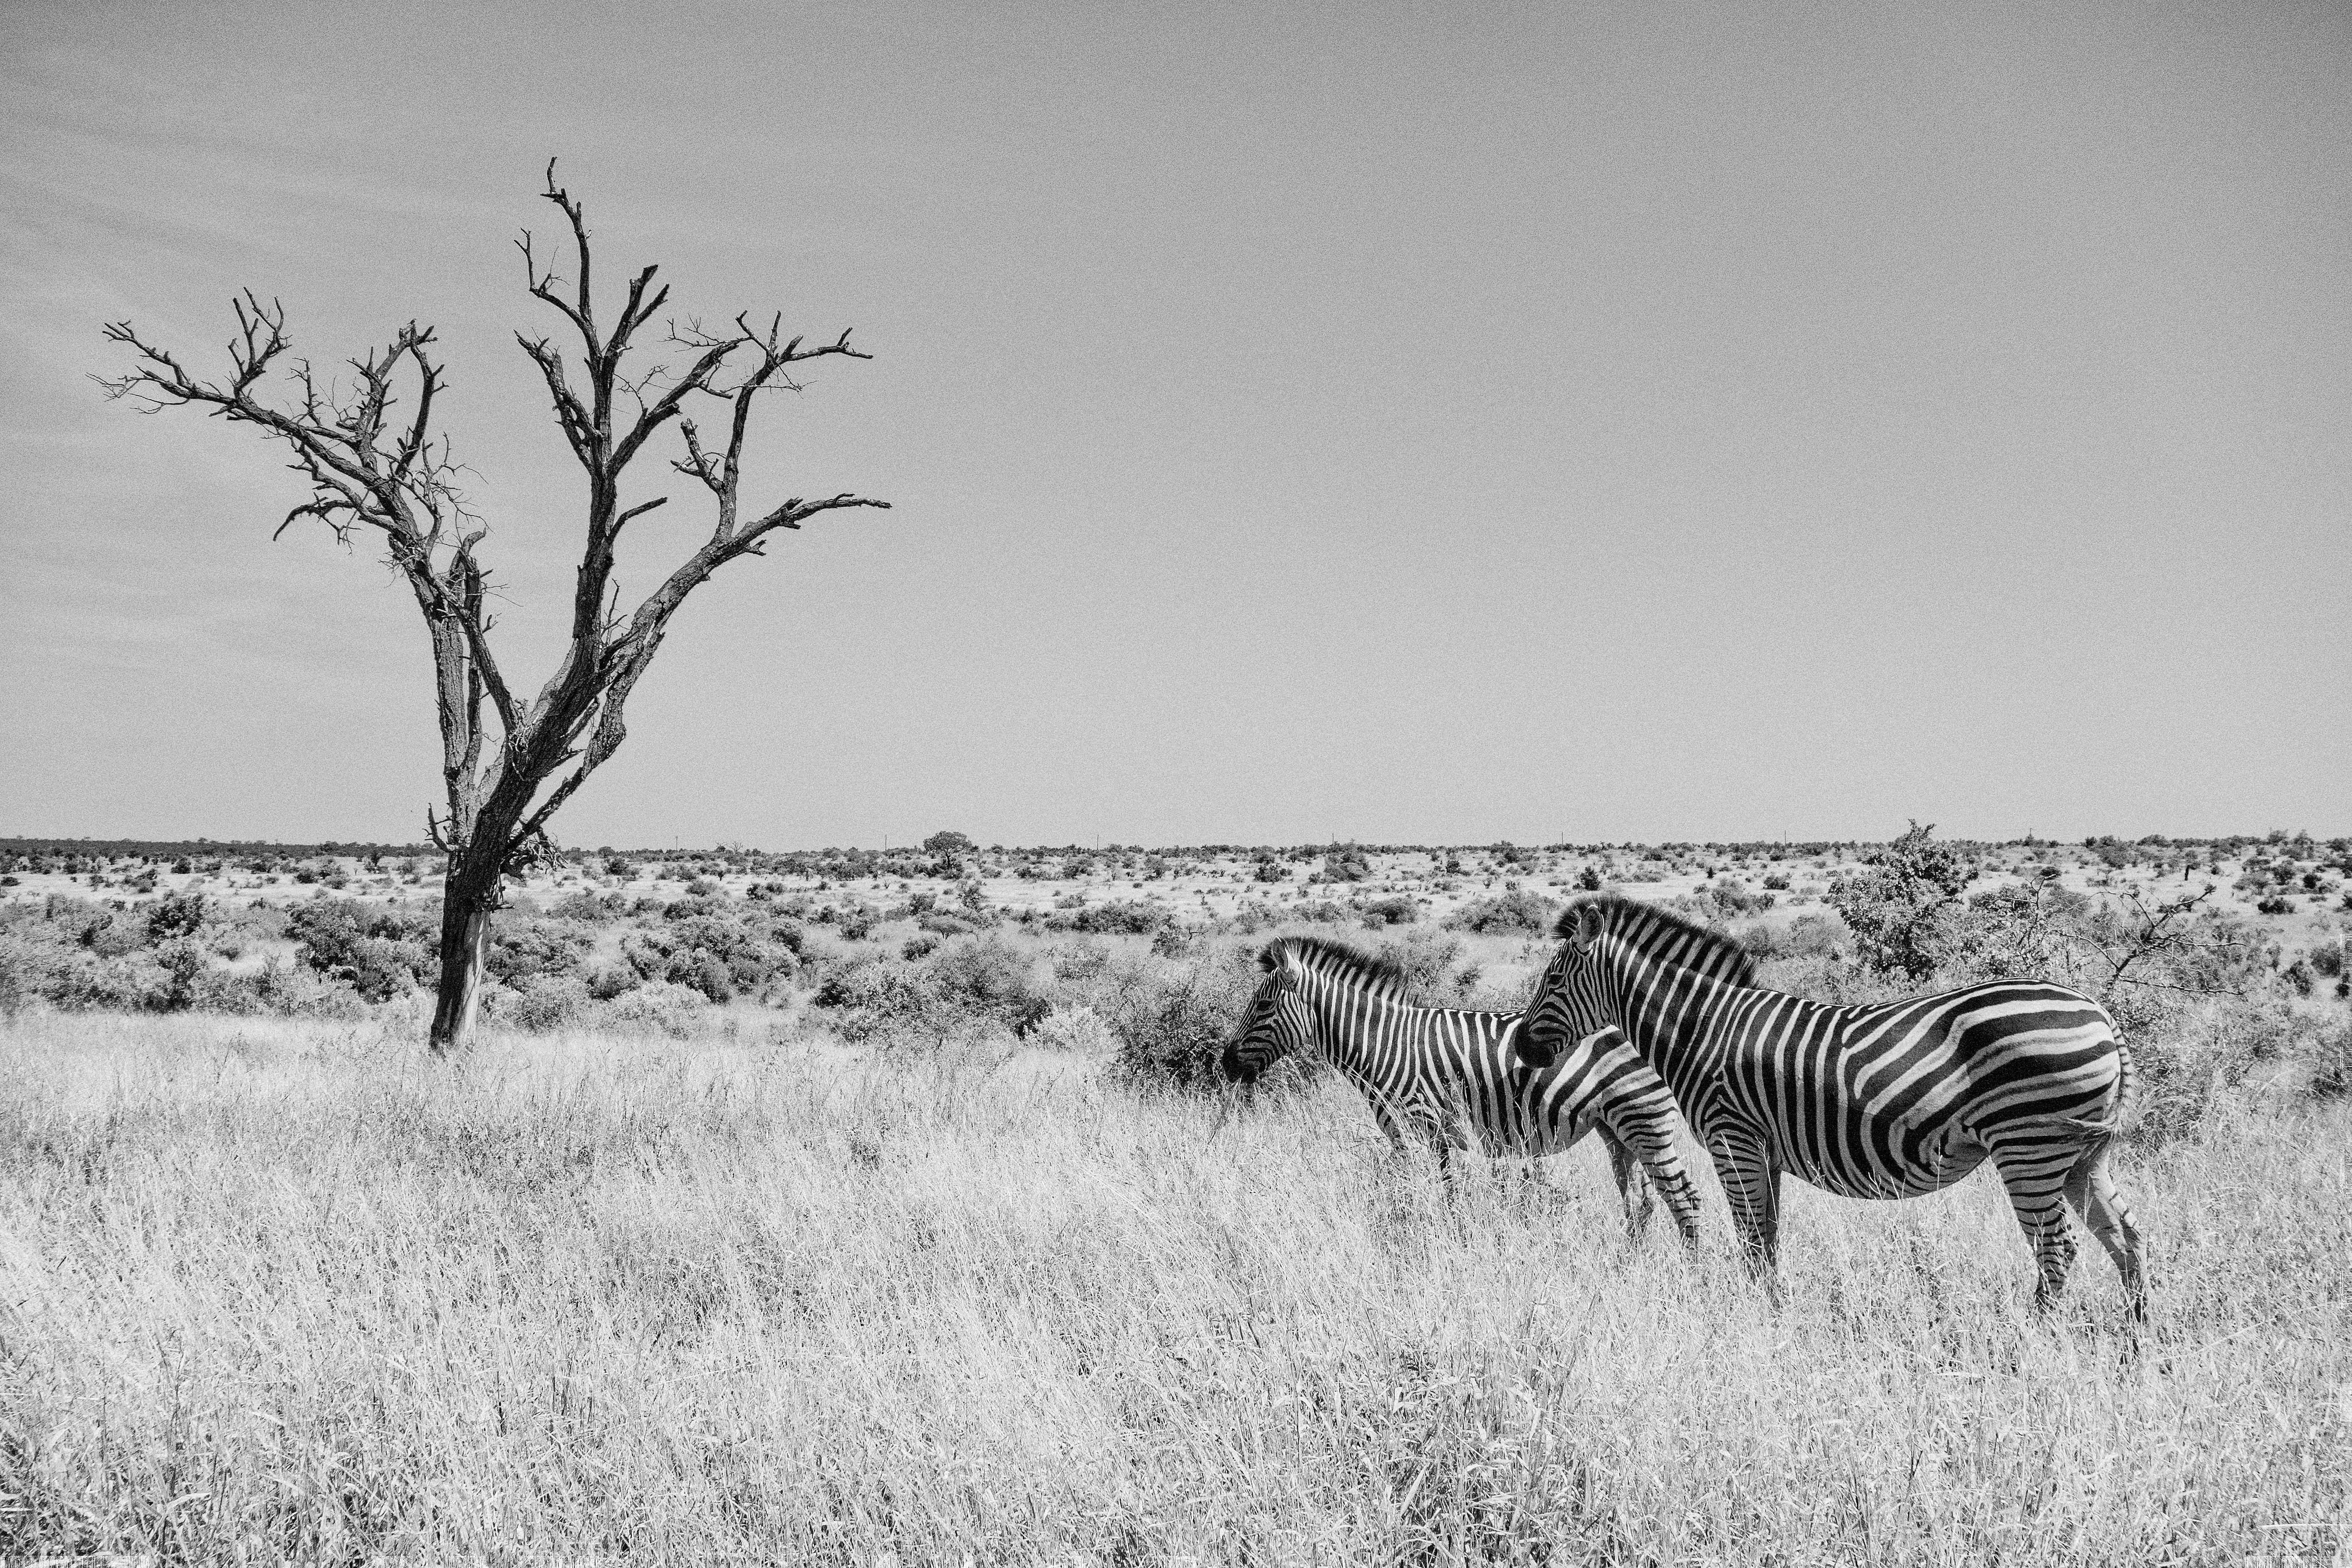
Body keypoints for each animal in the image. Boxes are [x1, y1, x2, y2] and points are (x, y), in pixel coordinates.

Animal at [1223, 940, 1703, 1241]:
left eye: (1262, 1005)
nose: (1226, 1064)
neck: (1385, 1045)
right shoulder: (1421, 1137)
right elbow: (1413, 1190)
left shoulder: (1425, 1127)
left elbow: (1434, 1193)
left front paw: (1441, 1240)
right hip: (1616, 1129)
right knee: (1641, 1203)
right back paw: (1629, 1262)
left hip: (1644, 1120)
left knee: (1683, 1196)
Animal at [1505, 893, 2154, 1316]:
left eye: (1553, 981)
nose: (1519, 1047)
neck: (1700, 1028)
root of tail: (2101, 1015)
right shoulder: (1762, 1147)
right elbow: (1766, 1238)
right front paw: (1773, 1311)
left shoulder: (1732, 1137)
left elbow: (1749, 1237)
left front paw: (1755, 1320)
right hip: (2081, 1154)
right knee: (2127, 1237)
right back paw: (2137, 1343)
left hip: (2029, 1147)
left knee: (2058, 1249)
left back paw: (2030, 1343)